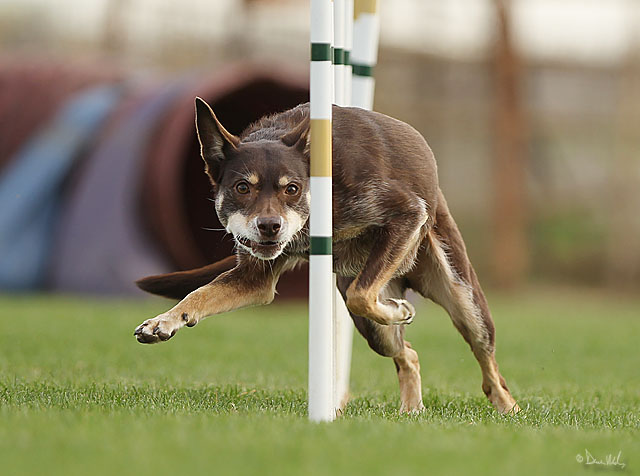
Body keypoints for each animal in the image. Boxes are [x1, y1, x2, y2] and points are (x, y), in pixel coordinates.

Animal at [135, 98, 520, 414]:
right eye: (242, 187)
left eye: (292, 188)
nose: (269, 226)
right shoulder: (254, 279)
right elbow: (198, 295)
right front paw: (163, 322)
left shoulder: (407, 213)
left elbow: (363, 294)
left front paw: (398, 310)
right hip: (376, 334)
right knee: (407, 354)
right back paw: (411, 409)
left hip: (465, 299)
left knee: (487, 362)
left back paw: (508, 407)